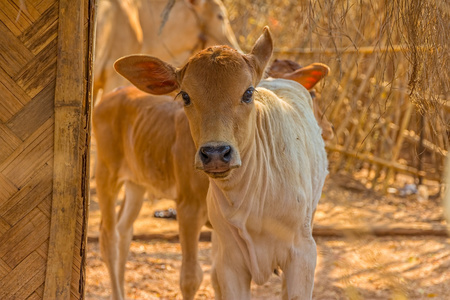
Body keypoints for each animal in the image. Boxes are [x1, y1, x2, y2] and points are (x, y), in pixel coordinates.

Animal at [115, 27, 326, 298]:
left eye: (248, 93)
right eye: (185, 96)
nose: (216, 153)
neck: (252, 199)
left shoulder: (303, 255)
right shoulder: (230, 262)